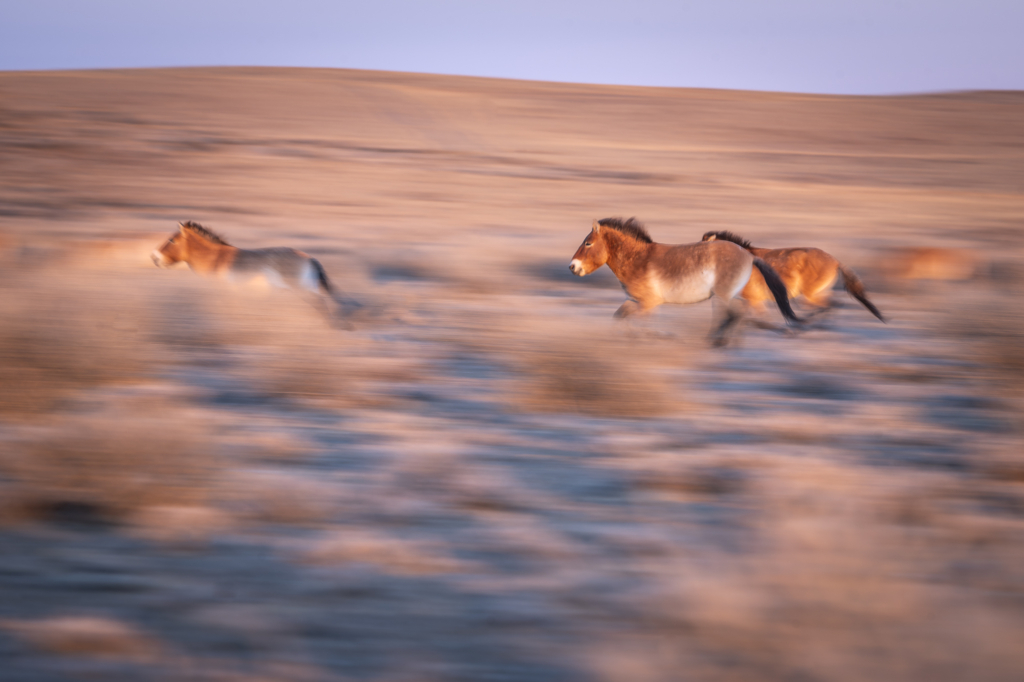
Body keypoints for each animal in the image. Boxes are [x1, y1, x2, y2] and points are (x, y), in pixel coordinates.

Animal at [151, 222, 356, 325]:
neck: (216, 258)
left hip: (304, 292)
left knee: (321, 306)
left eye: (171, 240)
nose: (154, 258)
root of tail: (310, 259)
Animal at [569, 216, 798, 346]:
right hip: (727, 296)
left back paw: (716, 342)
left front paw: (663, 337)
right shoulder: (634, 301)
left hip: (722, 296)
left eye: (588, 243)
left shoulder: (648, 304)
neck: (639, 259)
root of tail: (749, 255)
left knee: (731, 315)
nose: (572, 267)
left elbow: (640, 326)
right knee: (738, 315)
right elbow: (619, 319)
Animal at [700, 231, 884, 321]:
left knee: (830, 305)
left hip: (809, 294)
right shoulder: (749, 301)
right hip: (817, 293)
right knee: (830, 304)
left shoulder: (754, 300)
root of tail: (835, 260)